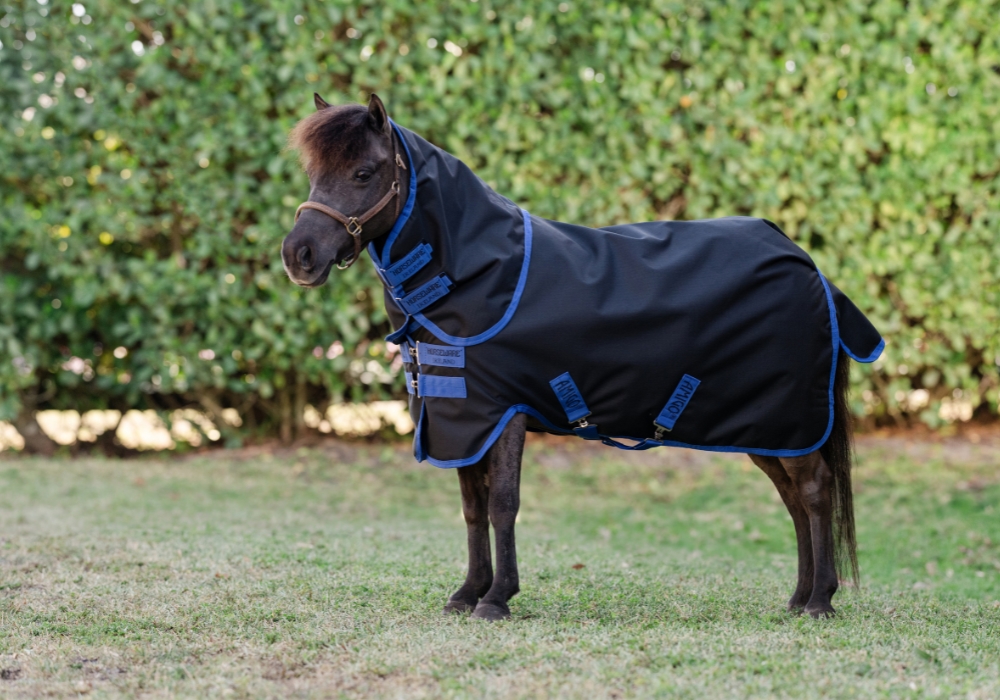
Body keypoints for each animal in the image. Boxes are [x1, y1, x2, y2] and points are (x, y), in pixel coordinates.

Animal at [281, 94, 884, 620]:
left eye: (364, 172)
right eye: (313, 173)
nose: (298, 256)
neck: (478, 274)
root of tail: (810, 268)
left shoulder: (503, 413)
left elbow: (502, 503)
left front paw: (496, 599)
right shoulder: (463, 418)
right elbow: (473, 506)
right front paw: (466, 593)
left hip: (788, 420)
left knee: (814, 491)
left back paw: (820, 601)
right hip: (767, 429)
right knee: (793, 499)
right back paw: (798, 598)